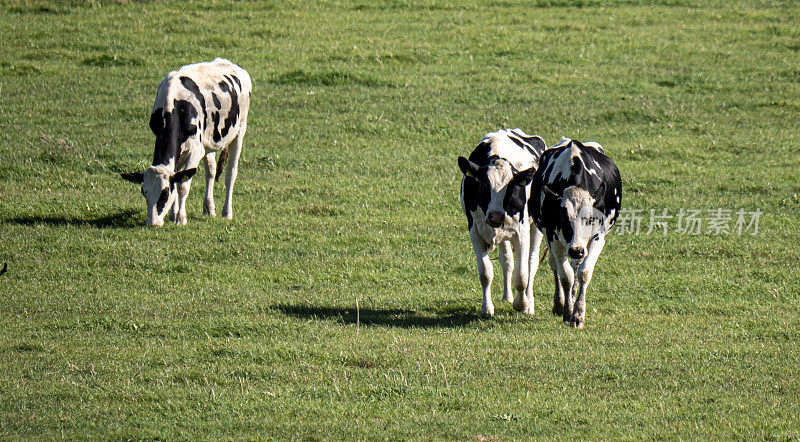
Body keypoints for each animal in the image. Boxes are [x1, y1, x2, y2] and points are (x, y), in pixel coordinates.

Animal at [122, 57, 252, 224]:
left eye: (164, 193)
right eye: (144, 192)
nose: (152, 222)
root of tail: (231, 63)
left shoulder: (195, 150)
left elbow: (183, 185)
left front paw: (181, 218)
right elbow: (177, 178)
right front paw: (173, 215)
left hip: (240, 130)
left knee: (231, 173)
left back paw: (226, 212)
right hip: (208, 142)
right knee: (211, 171)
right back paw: (209, 208)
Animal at [460, 129, 548, 316]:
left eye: (512, 187)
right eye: (484, 186)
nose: (496, 216)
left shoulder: (521, 232)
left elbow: (521, 275)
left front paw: (521, 304)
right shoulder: (475, 230)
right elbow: (485, 272)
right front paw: (487, 307)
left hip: (536, 227)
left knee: (531, 262)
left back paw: (529, 303)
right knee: (506, 260)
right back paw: (507, 296)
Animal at [532, 138, 624, 328]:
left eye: (590, 218)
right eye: (563, 218)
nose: (576, 250)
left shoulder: (598, 237)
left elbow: (583, 272)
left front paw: (578, 314)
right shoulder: (554, 238)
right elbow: (565, 275)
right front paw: (567, 311)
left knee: (576, 266)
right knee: (556, 266)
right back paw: (559, 303)